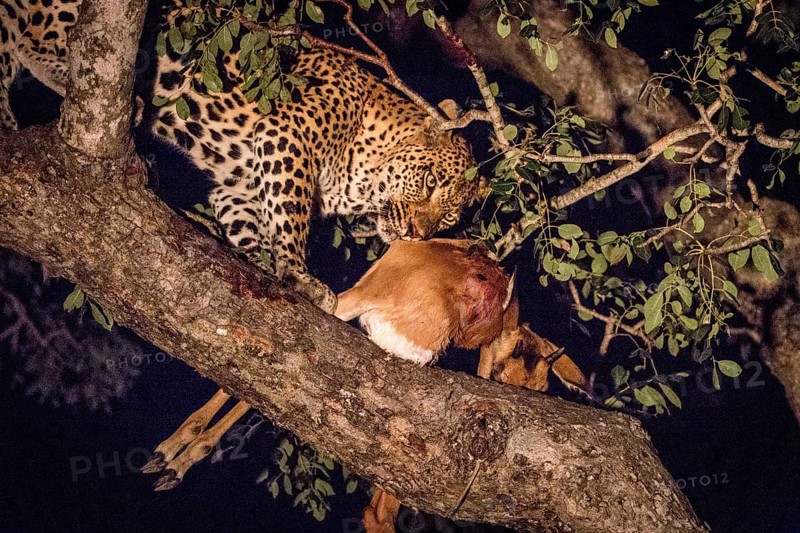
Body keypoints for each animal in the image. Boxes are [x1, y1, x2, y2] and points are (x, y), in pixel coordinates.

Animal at [0, 0, 481, 312]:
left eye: (448, 220)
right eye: (430, 182)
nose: (418, 234)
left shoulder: (242, 184)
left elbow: (252, 222)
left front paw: (262, 261)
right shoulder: (287, 136)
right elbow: (293, 219)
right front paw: (298, 275)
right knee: (32, 42)